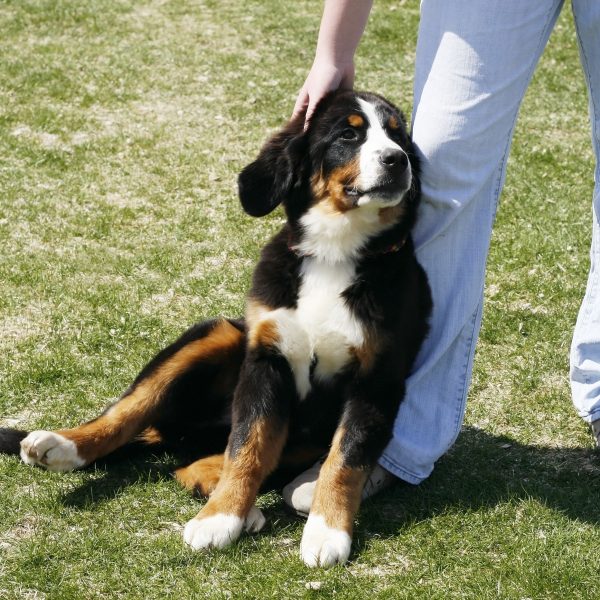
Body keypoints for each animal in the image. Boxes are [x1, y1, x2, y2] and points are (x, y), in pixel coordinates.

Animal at [0, 89, 432, 568]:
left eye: (398, 136)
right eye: (348, 135)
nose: (397, 160)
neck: (334, 253)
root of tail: (175, 433)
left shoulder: (376, 379)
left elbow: (345, 459)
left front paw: (326, 532)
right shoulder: (266, 360)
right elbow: (248, 447)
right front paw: (220, 518)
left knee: (194, 464)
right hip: (219, 335)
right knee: (129, 413)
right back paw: (61, 445)